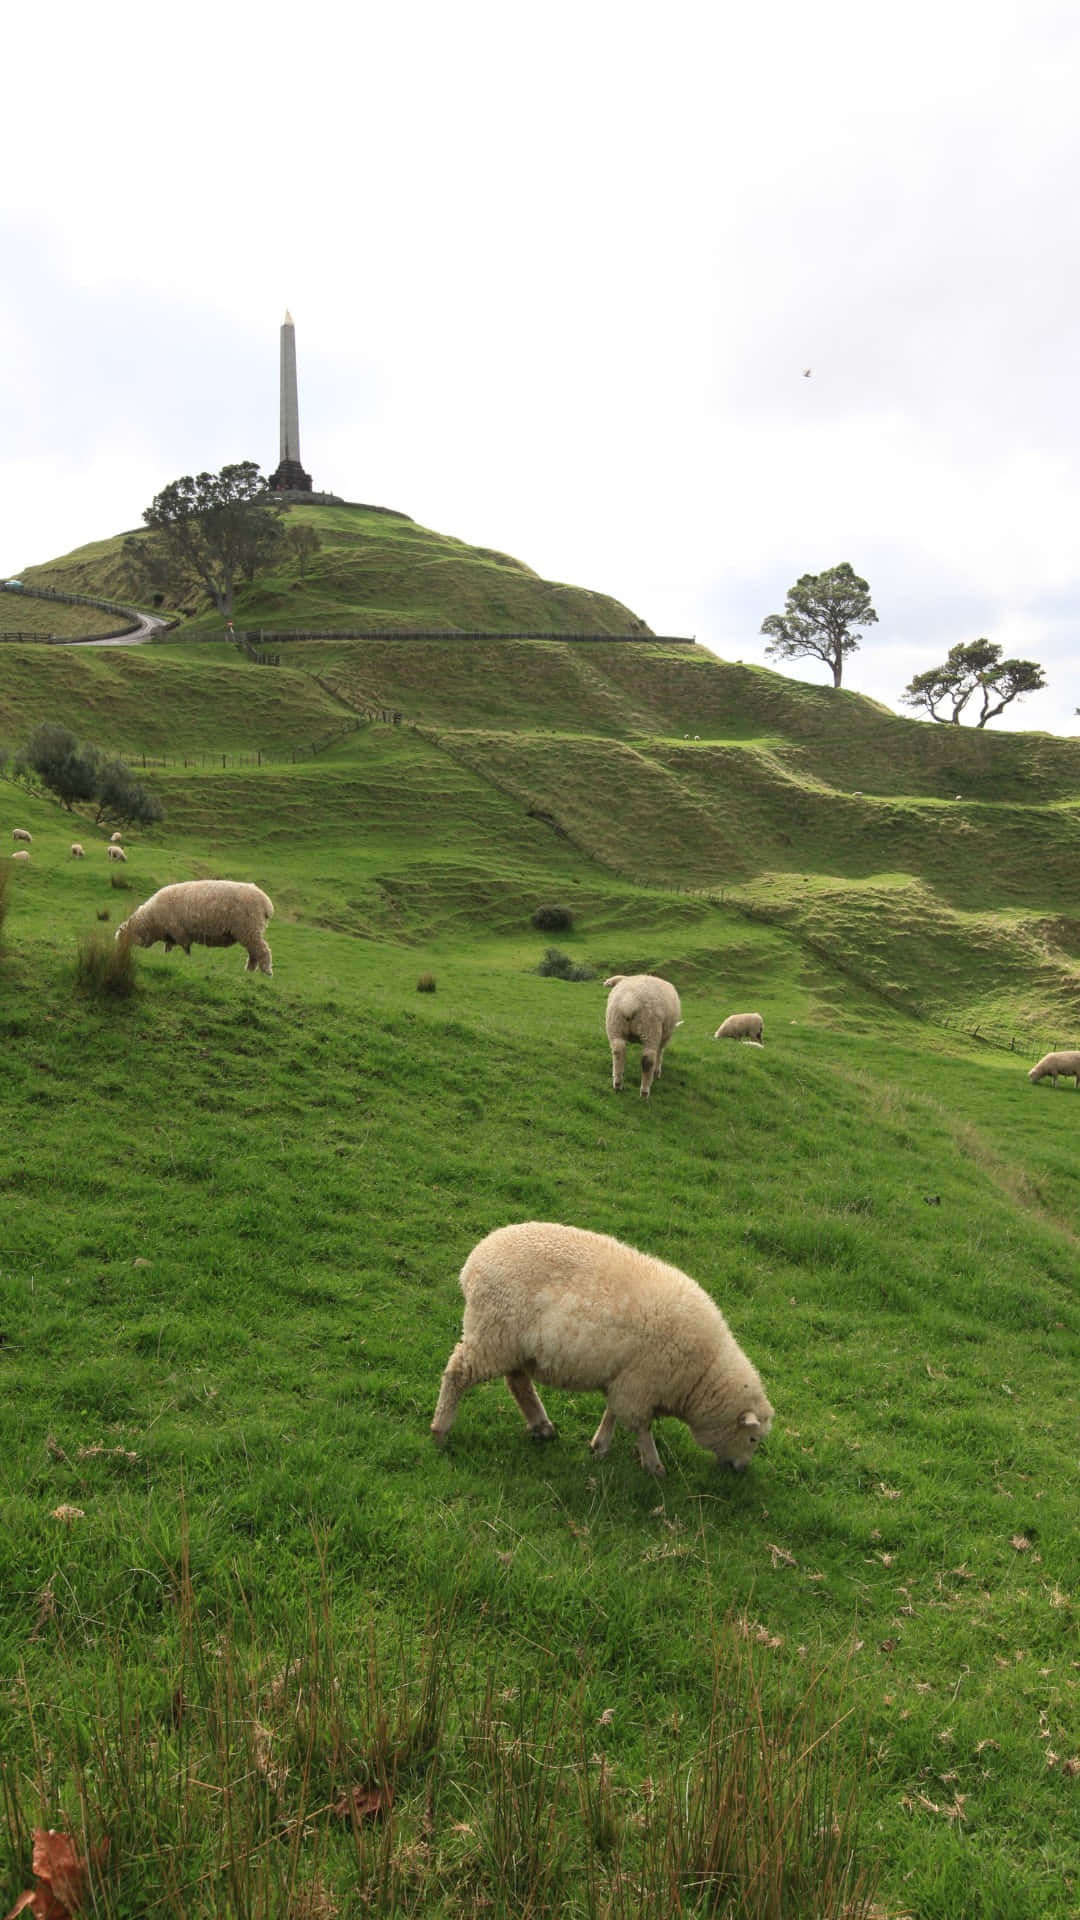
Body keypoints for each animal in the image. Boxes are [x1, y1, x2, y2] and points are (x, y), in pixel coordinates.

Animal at [115, 879, 274, 975]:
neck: (151, 921)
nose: (122, 952)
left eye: (123, 938)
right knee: (253, 952)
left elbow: (186, 949)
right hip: (249, 931)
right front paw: (167, 958)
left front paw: (188, 961)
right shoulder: (171, 934)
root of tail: (266, 902)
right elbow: (168, 948)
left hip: (249, 928)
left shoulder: (179, 932)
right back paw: (249, 971)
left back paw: (266, 972)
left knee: (263, 950)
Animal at [430, 1221, 772, 1474]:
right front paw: (654, 1466)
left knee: (517, 1382)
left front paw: (600, 1446)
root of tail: (474, 1260)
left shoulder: (626, 1381)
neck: (702, 1374)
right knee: (458, 1374)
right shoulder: (640, 1385)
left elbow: (613, 1412)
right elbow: (641, 1426)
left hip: (513, 1344)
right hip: (492, 1332)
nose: (741, 1470)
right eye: (753, 1438)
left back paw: (542, 1426)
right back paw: (440, 1430)